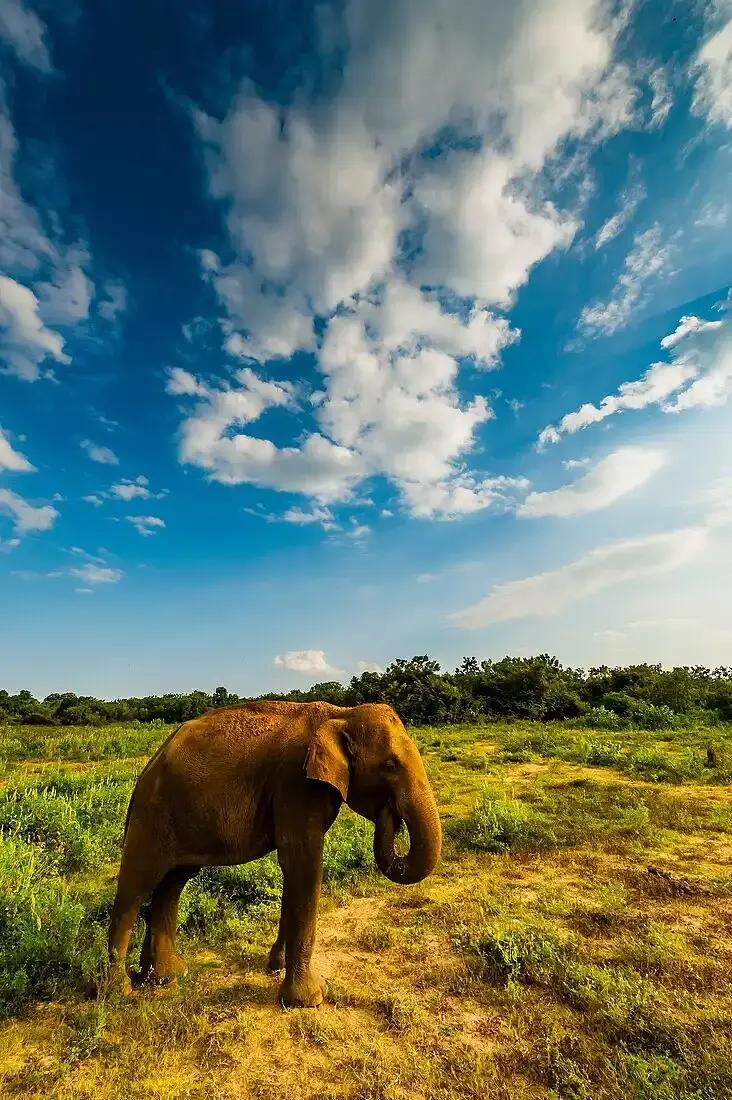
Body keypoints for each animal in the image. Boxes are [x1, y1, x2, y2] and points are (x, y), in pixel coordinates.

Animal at [107, 700, 441, 1008]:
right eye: (390, 765)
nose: (391, 816)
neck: (341, 713)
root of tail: (149, 765)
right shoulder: (296, 785)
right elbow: (304, 864)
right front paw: (310, 999)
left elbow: (293, 871)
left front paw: (275, 966)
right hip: (152, 815)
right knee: (137, 885)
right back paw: (120, 990)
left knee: (173, 882)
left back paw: (166, 976)